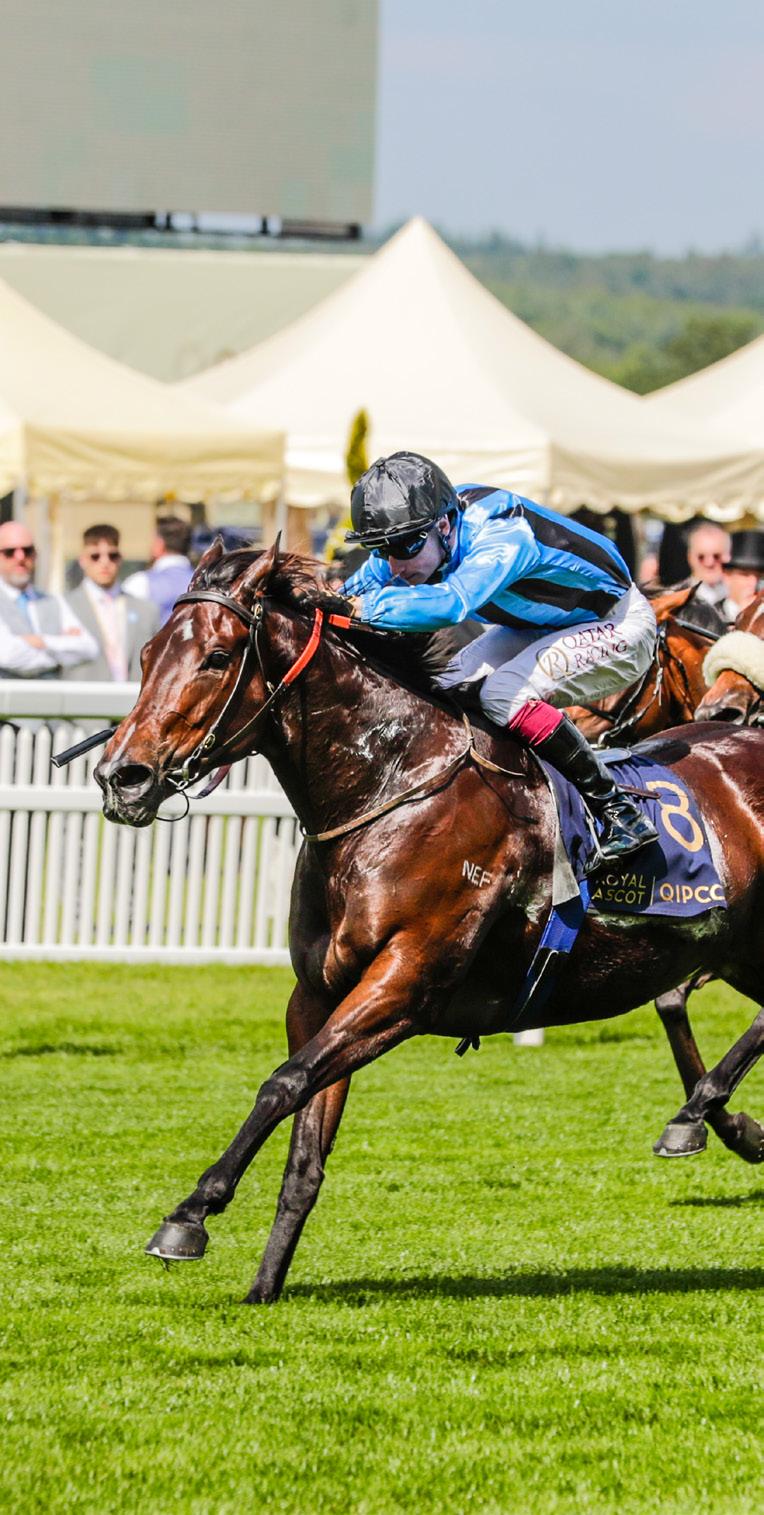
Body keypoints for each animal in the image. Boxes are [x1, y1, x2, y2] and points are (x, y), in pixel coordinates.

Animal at [94, 541, 764, 1303]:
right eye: (146, 654)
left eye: (214, 655)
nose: (123, 776)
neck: (390, 790)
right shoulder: (319, 993)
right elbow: (305, 1145)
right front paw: (264, 1284)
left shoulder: (405, 984)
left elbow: (284, 1083)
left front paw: (189, 1216)